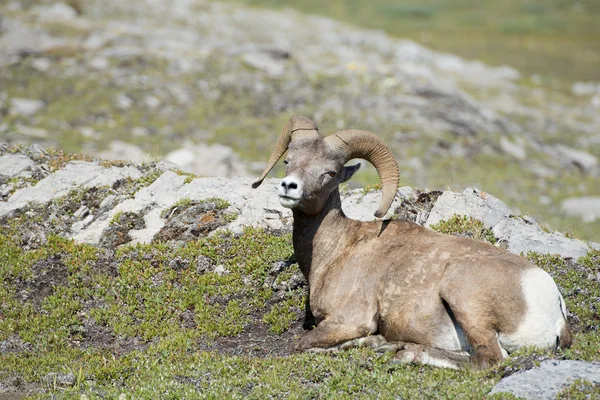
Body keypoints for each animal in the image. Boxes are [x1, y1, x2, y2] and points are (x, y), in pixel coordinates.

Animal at [251, 115, 568, 368]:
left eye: (330, 172)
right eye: (288, 161)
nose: (289, 187)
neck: (337, 249)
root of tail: (552, 304)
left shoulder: (347, 320)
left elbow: (303, 344)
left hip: (464, 299)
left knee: (488, 360)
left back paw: (405, 353)